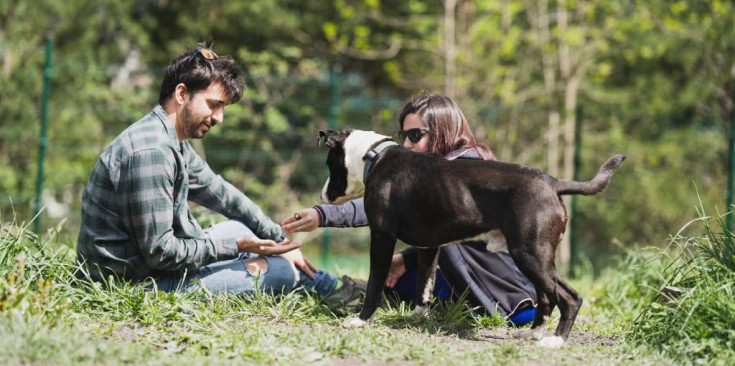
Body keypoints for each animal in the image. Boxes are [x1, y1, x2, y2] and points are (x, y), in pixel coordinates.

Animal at [318, 129, 628, 348]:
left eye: (329, 163)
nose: (322, 194)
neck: (373, 155)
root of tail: (552, 182)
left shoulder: (382, 238)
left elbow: (374, 285)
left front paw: (361, 320)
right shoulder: (429, 247)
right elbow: (424, 286)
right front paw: (417, 318)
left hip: (530, 254)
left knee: (569, 297)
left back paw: (556, 340)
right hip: (537, 257)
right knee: (547, 295)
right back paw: (533, 334)